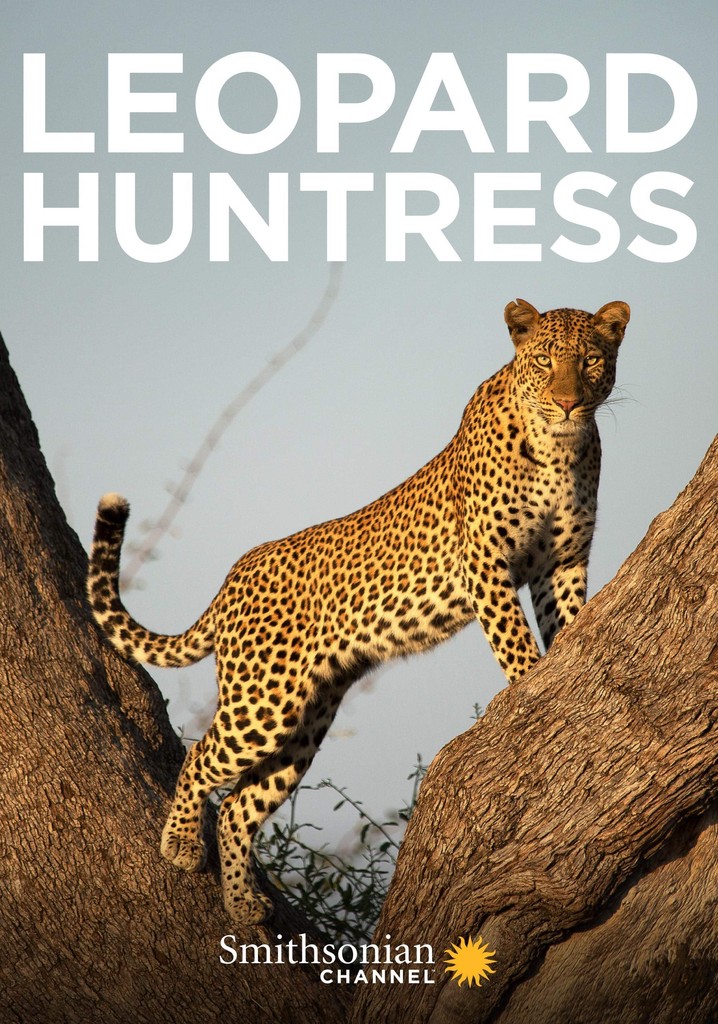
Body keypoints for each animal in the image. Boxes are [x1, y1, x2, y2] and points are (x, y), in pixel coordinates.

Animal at [87, 297, 630, 924]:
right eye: (544, 361)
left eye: (590, 360)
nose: (568, 402)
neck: (557, 451)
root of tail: (232, 579)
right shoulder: (486, 563)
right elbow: (516, 643)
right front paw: (530, 694)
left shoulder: (562, 564)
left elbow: (565, 621)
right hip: (262, 700)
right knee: (201, 754)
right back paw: (179, 843)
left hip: (306, 718)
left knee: (240, 805)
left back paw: (243, 902)